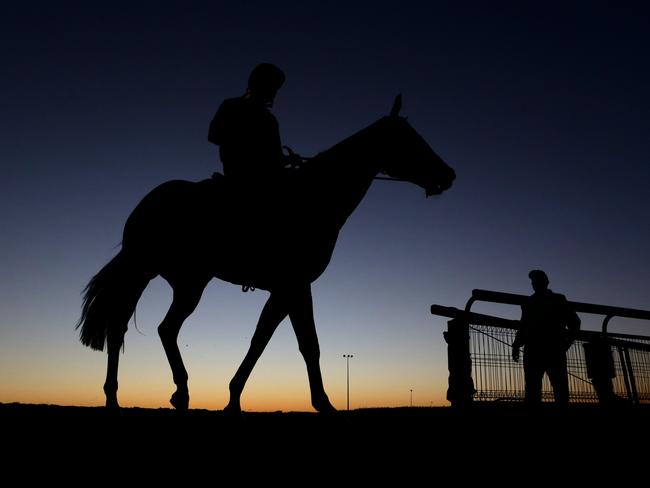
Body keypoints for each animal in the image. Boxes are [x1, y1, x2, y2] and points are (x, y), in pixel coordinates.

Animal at [77, 95, 456, 412]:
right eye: (410, 139)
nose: (449, 174)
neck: (315, 198)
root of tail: (144, 205)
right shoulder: (295, 285)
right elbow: (306, 344)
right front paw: (322, 403)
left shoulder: (286, 290)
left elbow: (264, 340)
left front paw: (235, 398)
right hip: (156, 274)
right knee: (138, 327)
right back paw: (143, 395)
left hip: (179, 280)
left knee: (145, 327)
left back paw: (145, 395)